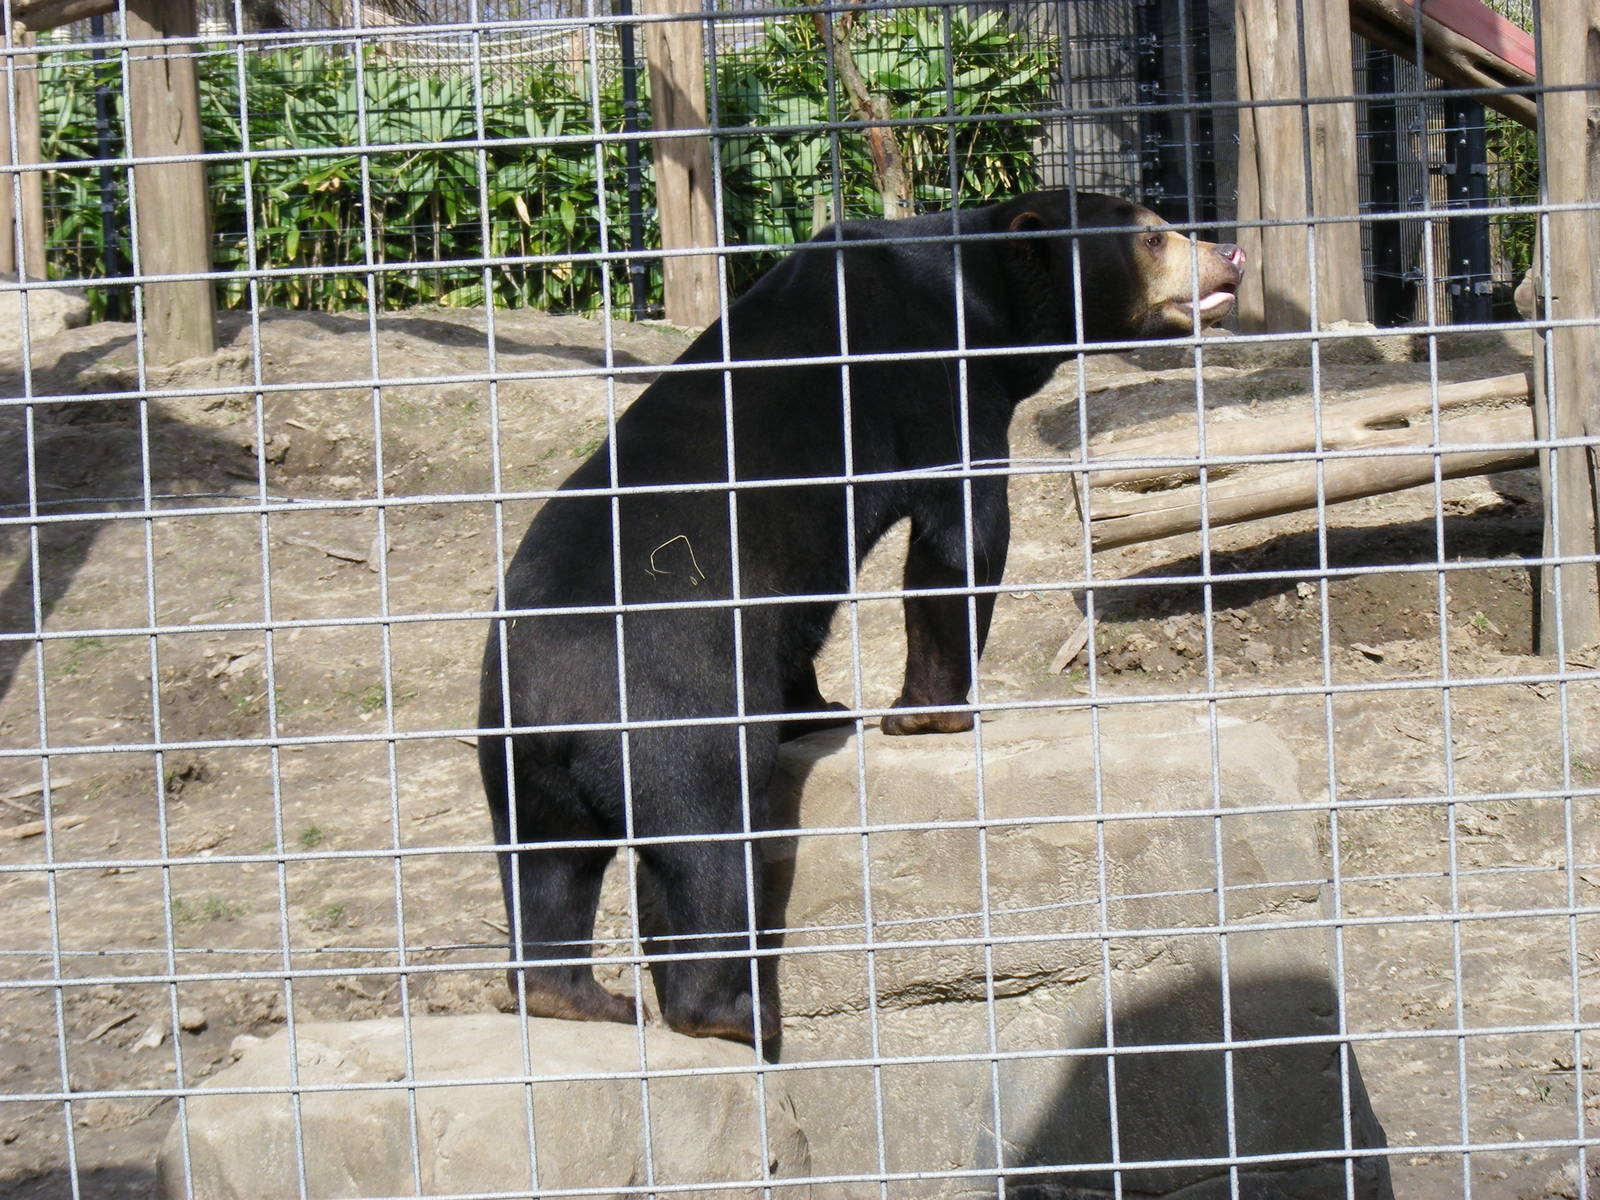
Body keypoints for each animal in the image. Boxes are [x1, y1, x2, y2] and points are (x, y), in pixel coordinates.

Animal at [479, 191, 1246, 1049]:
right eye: (1154, 238)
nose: (1229, 256)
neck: (980, 293)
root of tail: (549, 706)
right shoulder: (931, 380)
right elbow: (962, 536)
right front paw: (925, 714)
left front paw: (828, 709)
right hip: (672, 710)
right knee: (708, 836)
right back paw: (735, 1015)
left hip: (520, 770)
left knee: (548, 865)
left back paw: (576, 997)